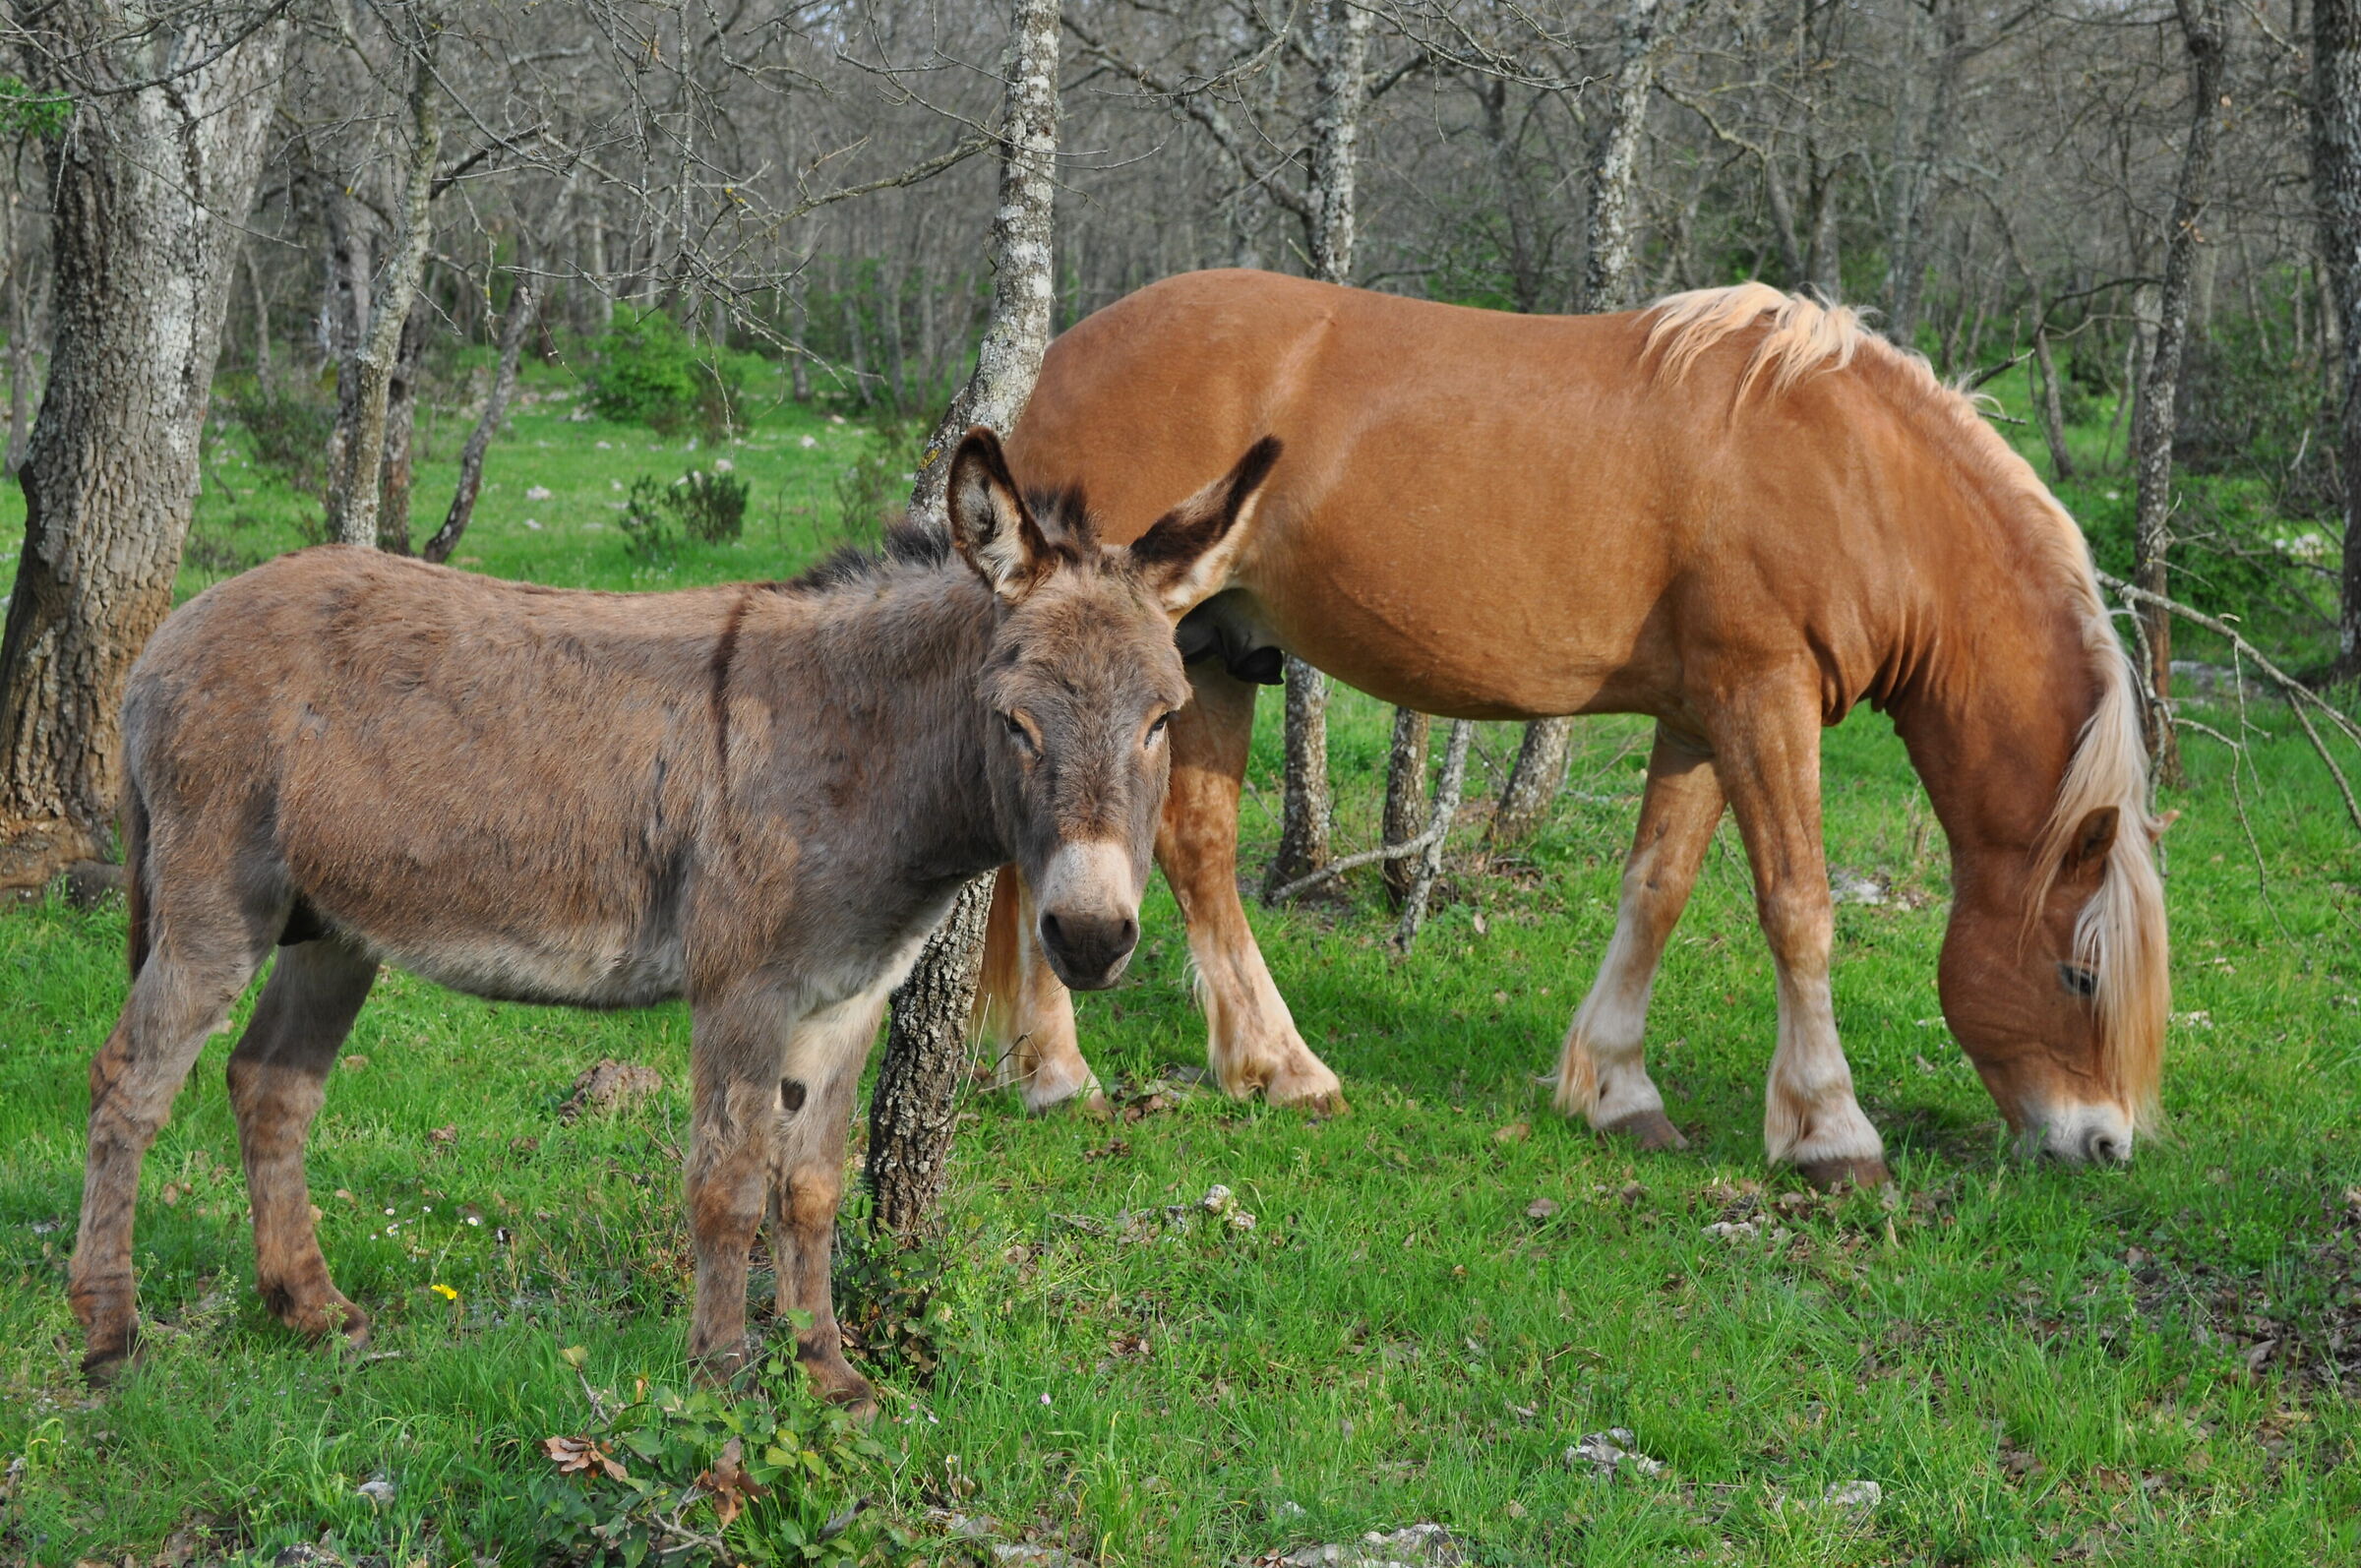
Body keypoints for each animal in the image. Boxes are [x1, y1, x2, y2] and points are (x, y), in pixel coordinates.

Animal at [67, 428, 1281, 1412]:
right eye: (1016, 722)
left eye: (1164, 718)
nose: (1091, 937)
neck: (863, 746)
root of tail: (172, 633)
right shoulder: (741, 990)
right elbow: (728, 1185)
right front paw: (723, 1377)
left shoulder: (847, 998)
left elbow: (812, 1188)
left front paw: (830, 1375)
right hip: (217, 904)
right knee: (129, 1079)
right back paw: (110, 1335)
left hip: (333, 929)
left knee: (270, 1083)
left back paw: (307, 1308)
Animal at [981, 270, 2169, 1188]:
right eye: (2080, 976)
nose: (2104, 1144)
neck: (1852, 475)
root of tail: (1061, 362)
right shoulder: (1764, 699)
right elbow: (1799, 907)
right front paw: (1831, 1132)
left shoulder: (1702, 717)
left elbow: (1657, 890)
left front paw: (1617, 1090)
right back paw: (1063, 1074)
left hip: (1210, 654)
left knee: (1193, 847)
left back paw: (1271, 1069)